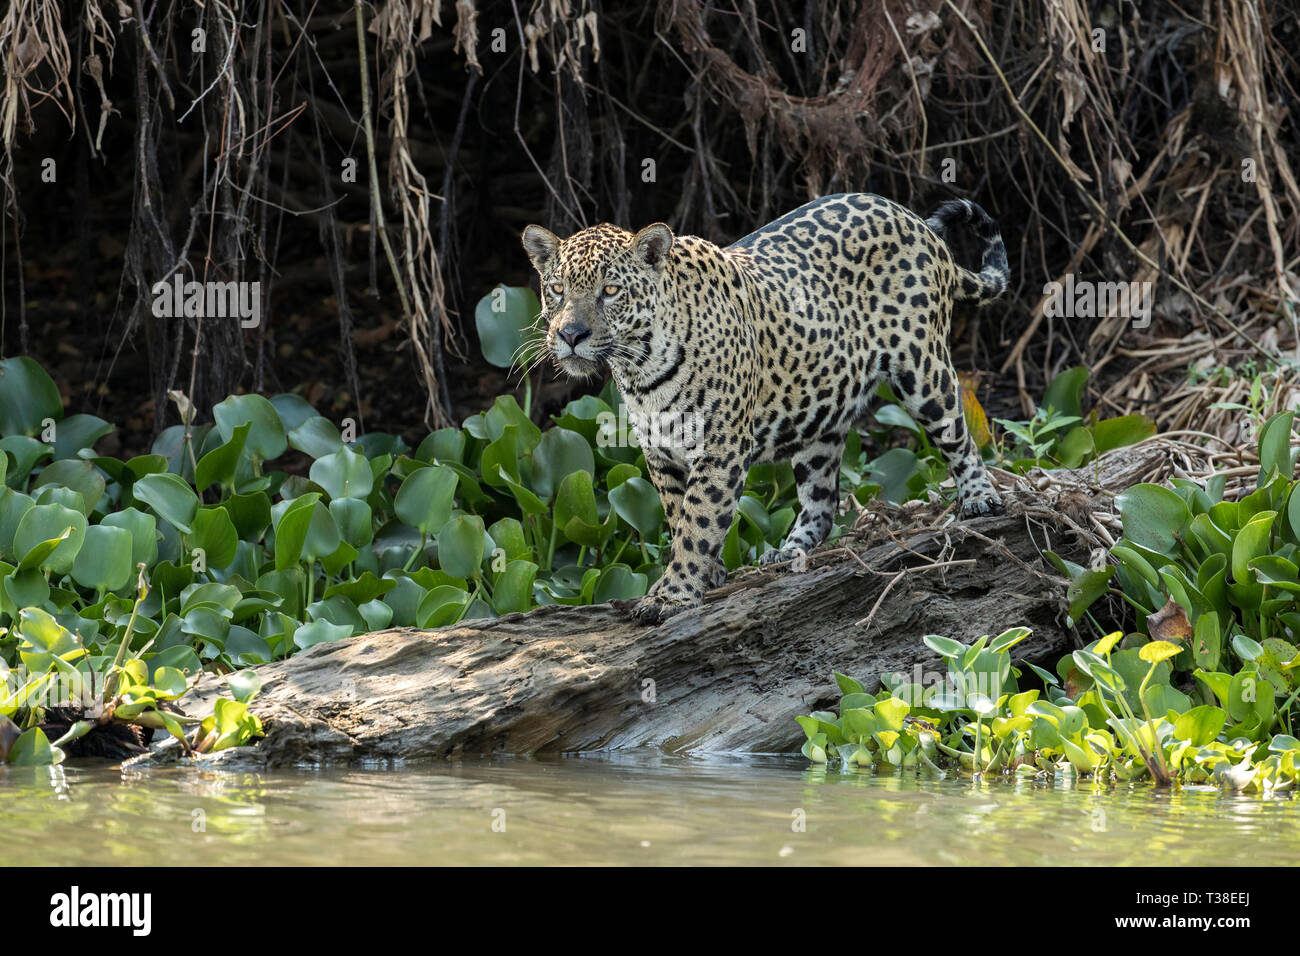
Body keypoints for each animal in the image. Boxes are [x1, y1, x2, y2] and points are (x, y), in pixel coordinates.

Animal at [521, 193, 1010, 625]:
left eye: (611, 290)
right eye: (557, 289)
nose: (571, 334)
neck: (642, 368)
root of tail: (914, 221)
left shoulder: (720, 449)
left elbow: (698, 520)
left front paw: (673, 595)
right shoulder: (660, 453)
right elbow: (679, 516)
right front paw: (706, 575)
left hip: (924, 370)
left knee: (960, 436)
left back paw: (980, 498)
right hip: (821, 418)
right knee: (823, 501)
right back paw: (787, 551)